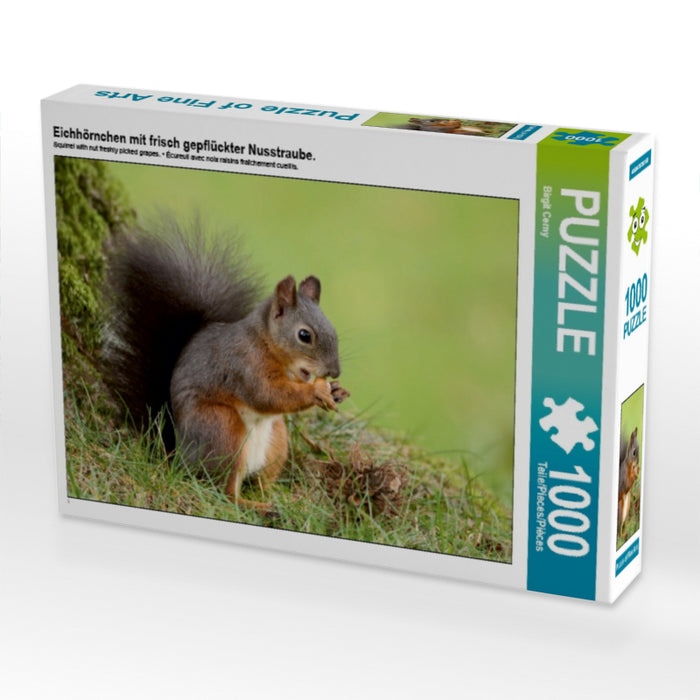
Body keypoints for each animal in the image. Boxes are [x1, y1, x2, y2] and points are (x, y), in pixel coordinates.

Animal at [103, 222, 350, 512]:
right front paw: (317, 392)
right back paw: (257, 506)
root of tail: (178, 454)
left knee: (261, 480)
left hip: (276, 442)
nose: (335, 372)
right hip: (222, 429)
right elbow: (268, 395)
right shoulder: (244, 365)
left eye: (333, 330)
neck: (264, 342)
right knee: (224, 491)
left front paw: (337, 391)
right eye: (304, 335)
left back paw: (279, 499)